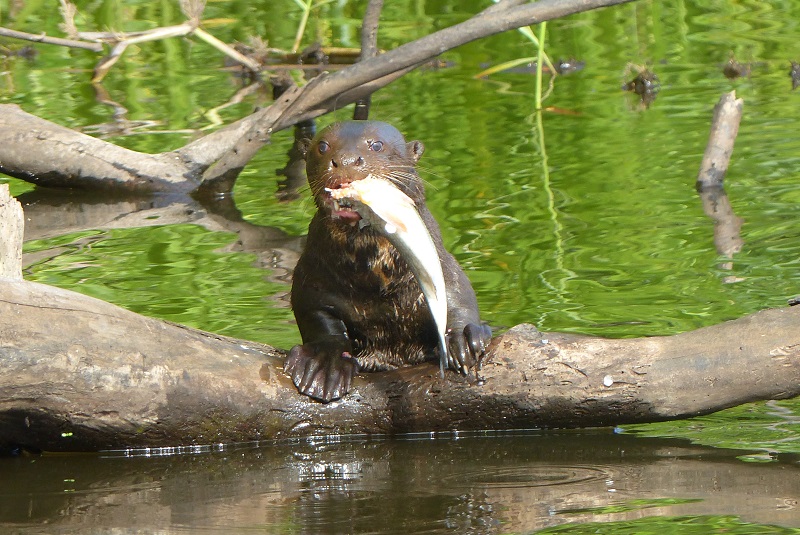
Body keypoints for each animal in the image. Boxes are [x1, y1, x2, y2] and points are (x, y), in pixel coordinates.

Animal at [285, 121, 492, 402]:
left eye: (376, 145)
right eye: (323, 146)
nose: (346, 160)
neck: (377, 283)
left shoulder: (443, 268)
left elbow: (458, 300)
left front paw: (464, 339)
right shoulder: (311, 281)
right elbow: (318, 320)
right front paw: (322, 364)